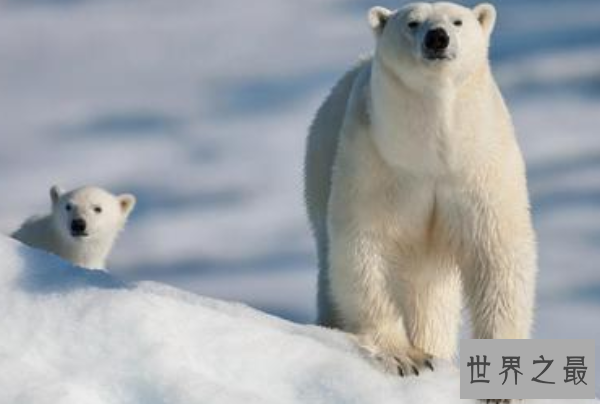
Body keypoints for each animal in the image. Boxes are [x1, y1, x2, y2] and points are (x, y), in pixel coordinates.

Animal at [308, 1, 536, 378]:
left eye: (457, 21)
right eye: (412, 23)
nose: (437, 38)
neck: (431, 154)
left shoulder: (479, 165)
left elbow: (497, 252)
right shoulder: (377, 160)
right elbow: (365, 245)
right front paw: (405, 357)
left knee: (431, 295)